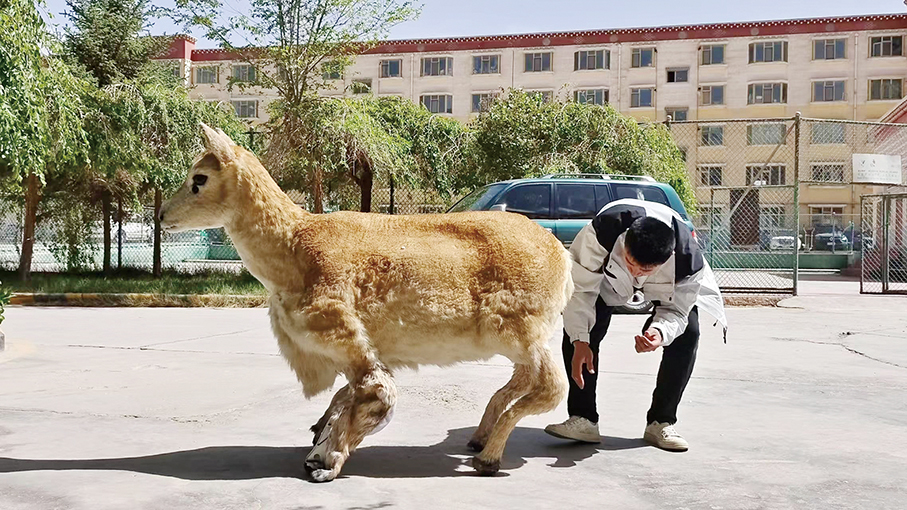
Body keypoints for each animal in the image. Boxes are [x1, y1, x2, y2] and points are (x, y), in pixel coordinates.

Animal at [159, 124, 571, 482]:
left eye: (199, 179)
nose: (162, 215)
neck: (294, 247)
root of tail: (561, 258)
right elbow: (349, 395)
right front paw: (319, 441)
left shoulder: (344, 333)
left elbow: (375, 393)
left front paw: (325, 463)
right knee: (524, 380)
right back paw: (479, 438)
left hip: (521, 330)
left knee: (550, 387)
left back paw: (488, 457)